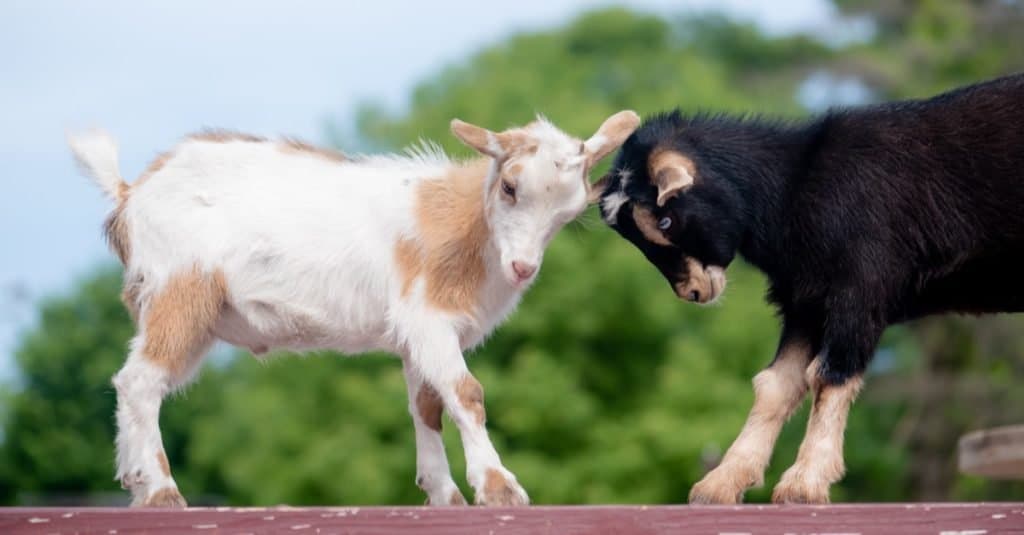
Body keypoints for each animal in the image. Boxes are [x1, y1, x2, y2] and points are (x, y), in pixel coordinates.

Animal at [66, 111, 638, 504]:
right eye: (511, 186)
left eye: (570, 213)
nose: (523, 267)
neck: (465, 227)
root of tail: (130, 193)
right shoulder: (427, 319)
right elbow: (466, 393)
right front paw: (498, 486)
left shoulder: (416, 336)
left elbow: (426, 405)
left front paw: (443, 494)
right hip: (179, 292)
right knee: (140, 381)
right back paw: (163, 492)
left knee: (136, 383)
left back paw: (138, 483)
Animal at [593, 72, 1024, 502]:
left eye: (666, 221)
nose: (692, 292)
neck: (794, 188)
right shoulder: (806, 301)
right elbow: (775, 385)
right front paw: (720, 483)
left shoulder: (861, 286)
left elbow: (830, 375)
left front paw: (804, 482)